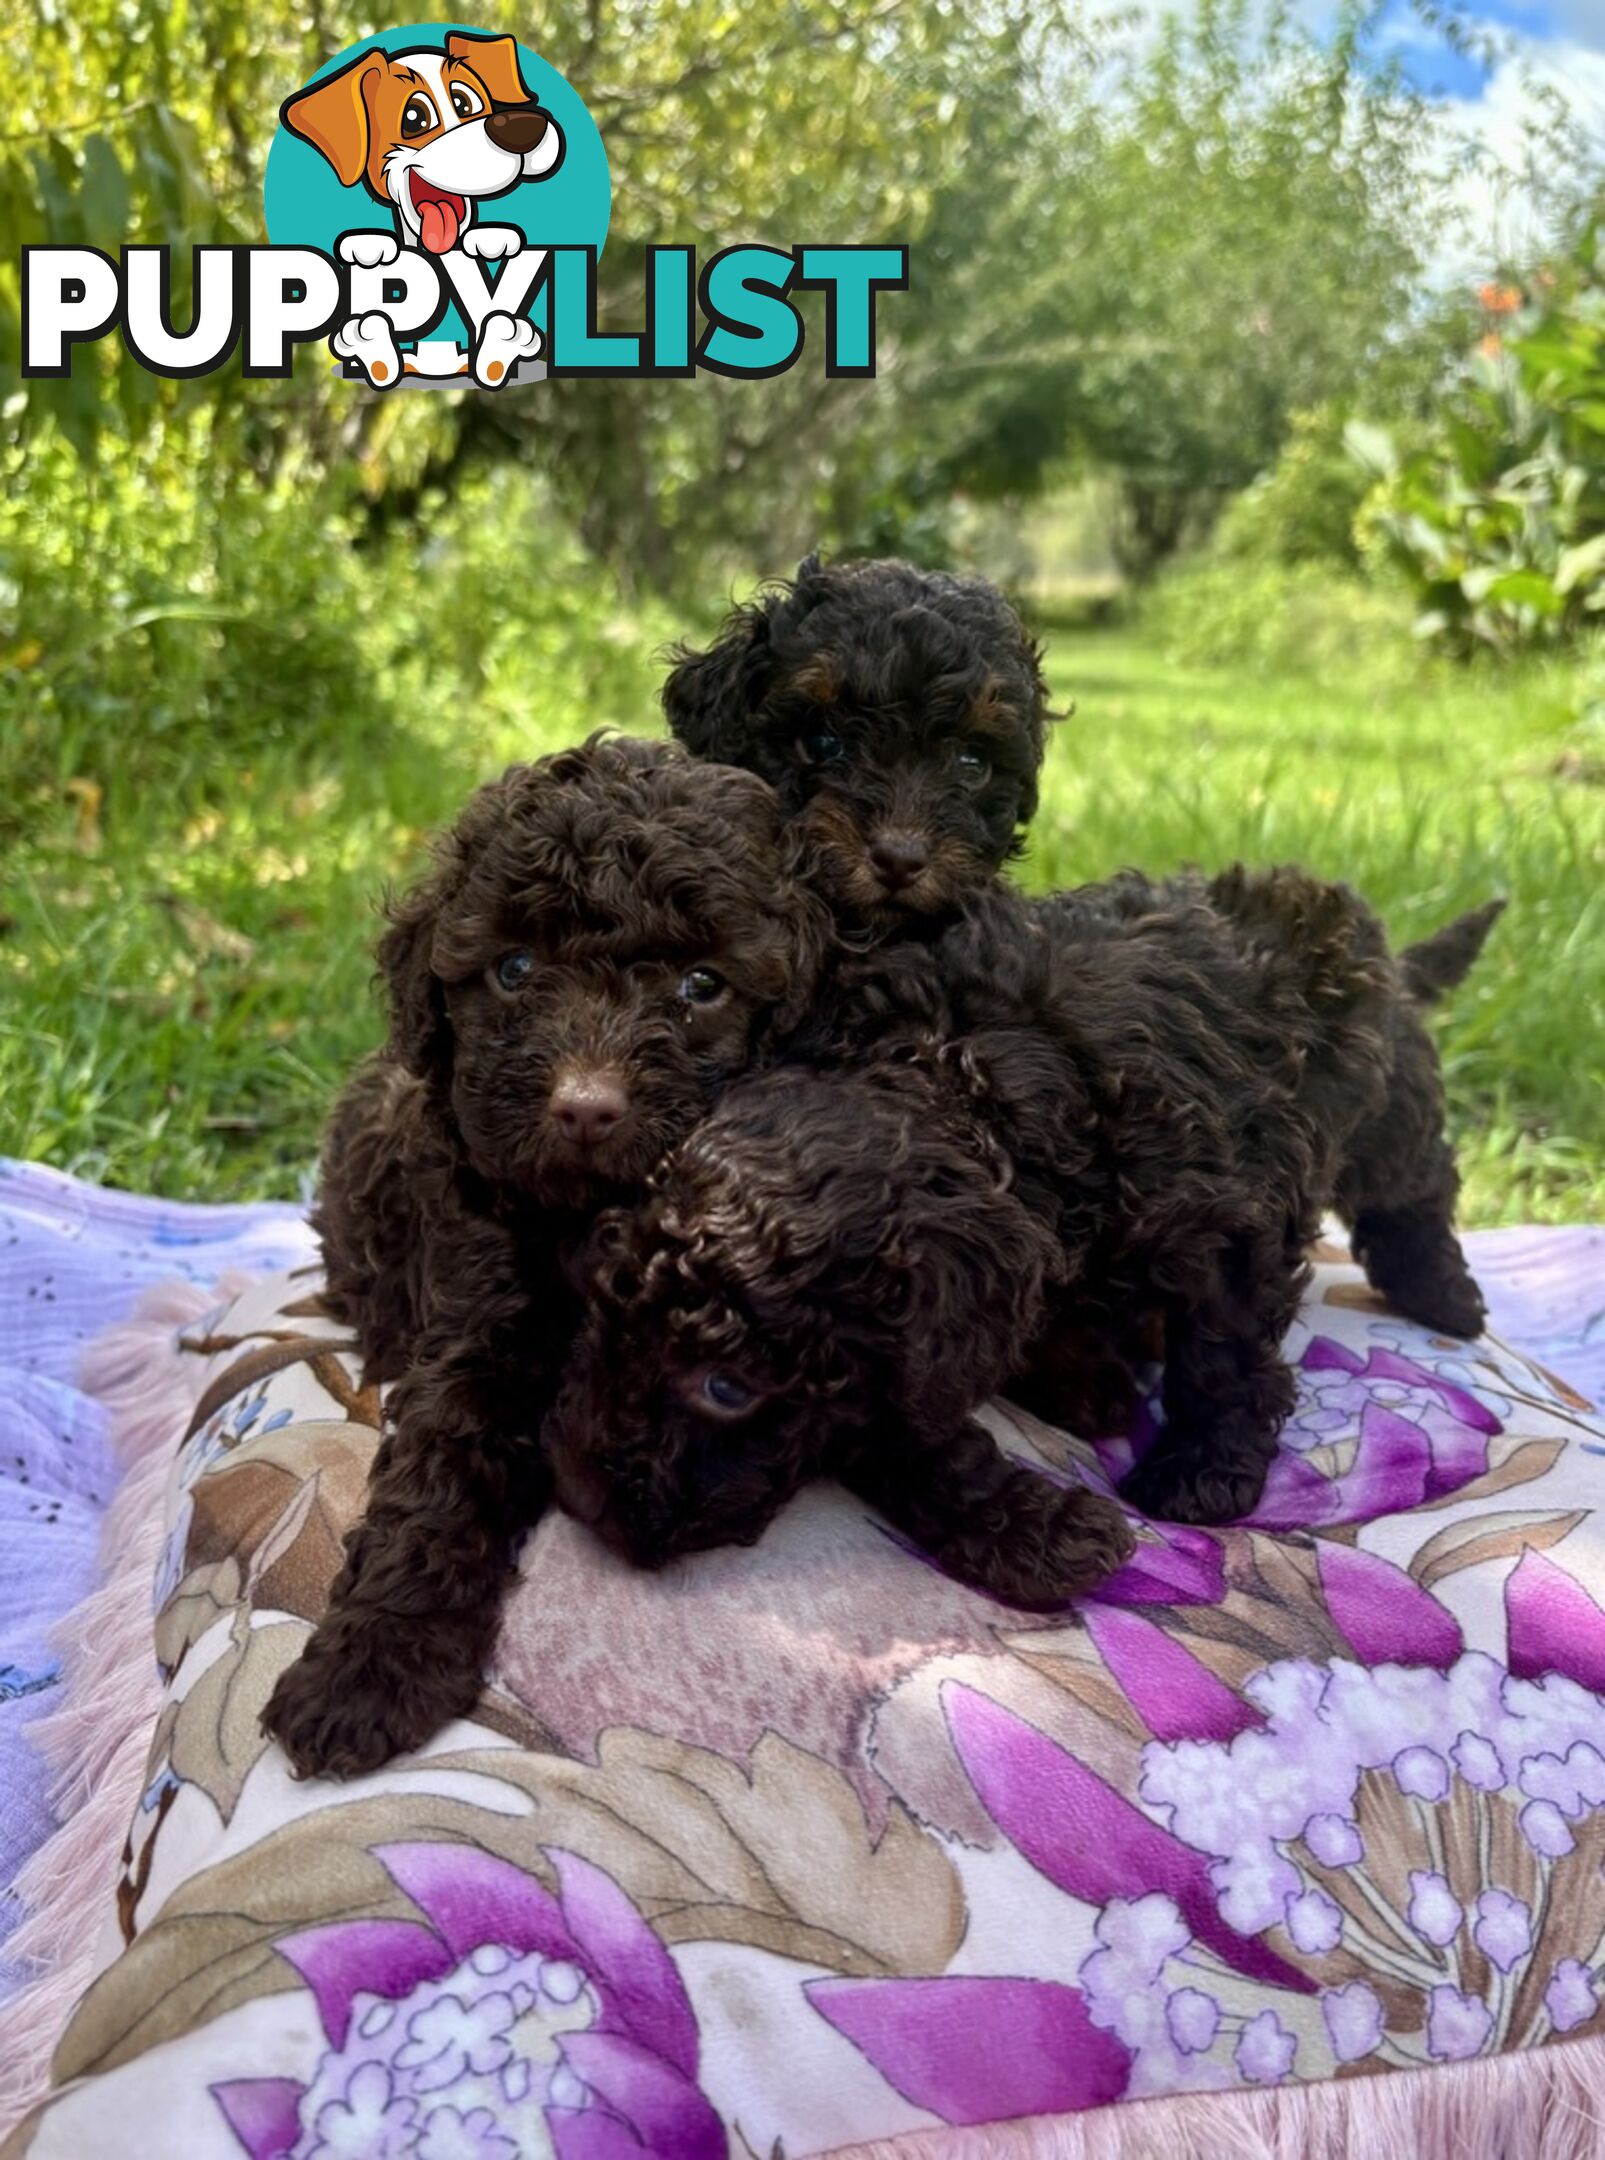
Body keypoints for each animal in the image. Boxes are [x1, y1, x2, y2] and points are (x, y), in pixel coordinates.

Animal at [260, 734, 829, 1779]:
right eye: (514, 969)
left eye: (701, 985)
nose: (586, 1107)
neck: (586, 1215)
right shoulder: (477, 1320)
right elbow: (437, 1481)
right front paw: (370, 1665)